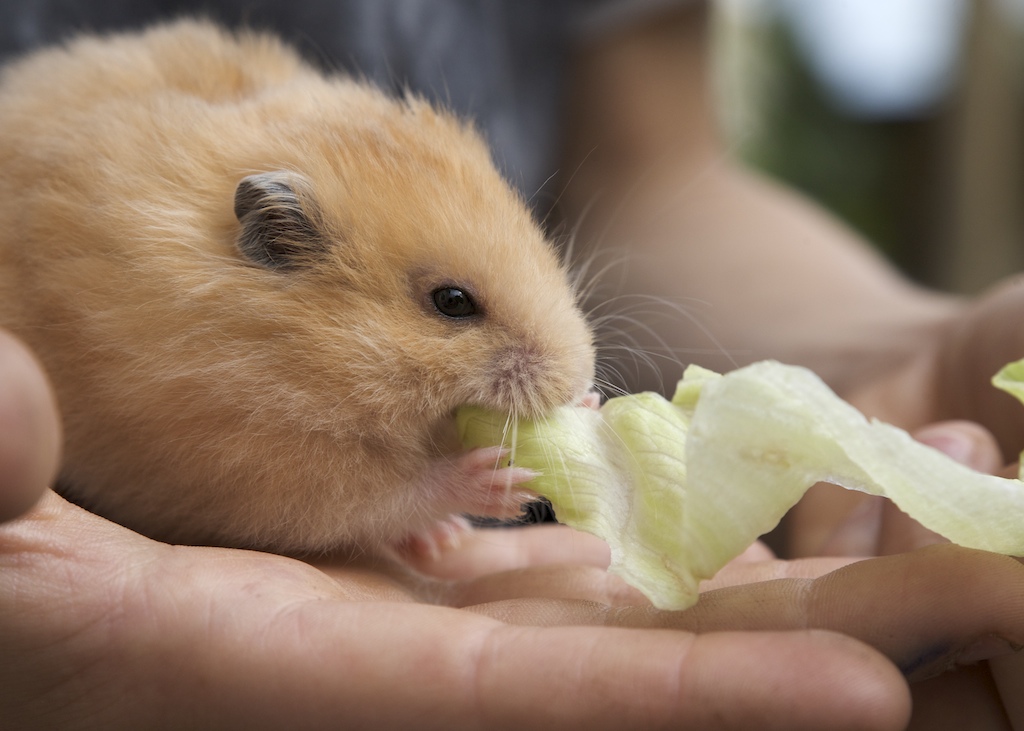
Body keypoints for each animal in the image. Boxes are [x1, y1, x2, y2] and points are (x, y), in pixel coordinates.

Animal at [0, 20, 595, 554]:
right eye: (452, 302)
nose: (579, 380)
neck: (285, 352)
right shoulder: (253, 464)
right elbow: (384, 496)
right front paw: (499, 481)